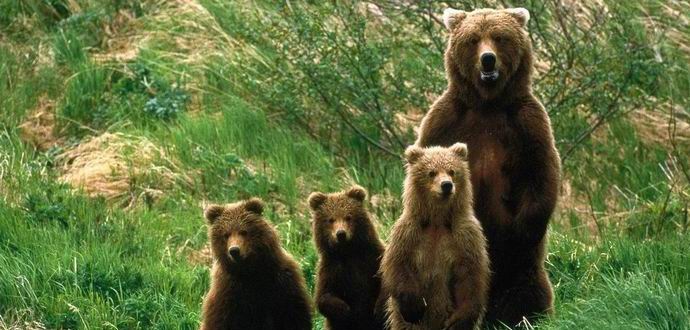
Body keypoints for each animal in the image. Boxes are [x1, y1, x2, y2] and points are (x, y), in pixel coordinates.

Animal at [200, 199, 310, 330]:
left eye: (243, 231)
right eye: (226, 234)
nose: (234, 250)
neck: (251, 271)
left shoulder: (282, 281)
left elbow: (294, 314)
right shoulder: (227, 292)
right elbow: (219, 321)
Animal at [308, 186, 384, 330]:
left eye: (348, 217)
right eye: (330, 219)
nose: (341, 234)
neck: (348, 251)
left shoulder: (372, 258)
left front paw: (378, 308)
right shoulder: (332, 268)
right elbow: (323, 297)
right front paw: (345, 310)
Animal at [414, 7, 560, 328]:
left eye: (499, 36)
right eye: (473, 39)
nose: (488, 59)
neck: (488, 104)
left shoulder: (527, 124)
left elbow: (541, 172)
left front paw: (523, 230)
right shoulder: (445, 120)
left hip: (521, 269)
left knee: (526, 289)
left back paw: (524, 315)